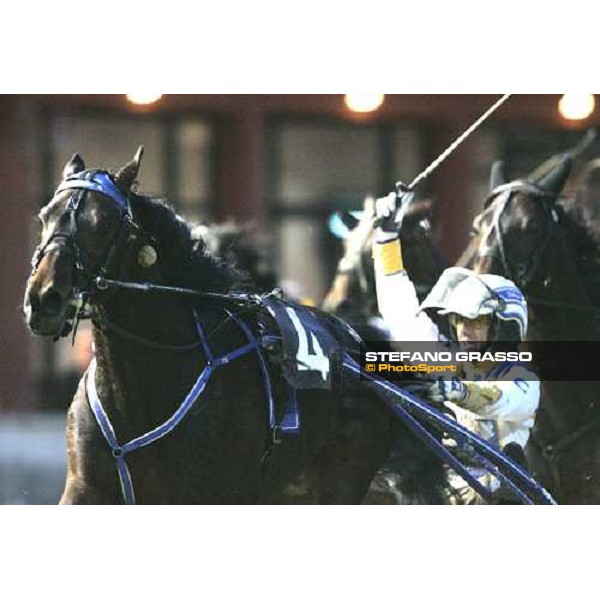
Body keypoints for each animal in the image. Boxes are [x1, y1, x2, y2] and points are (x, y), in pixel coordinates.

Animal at [24, 148, 440, 504]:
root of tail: (359, 344)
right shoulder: (86, 489)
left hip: (340, 477)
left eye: (104, 223)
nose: (44, 298)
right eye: (44, 216)